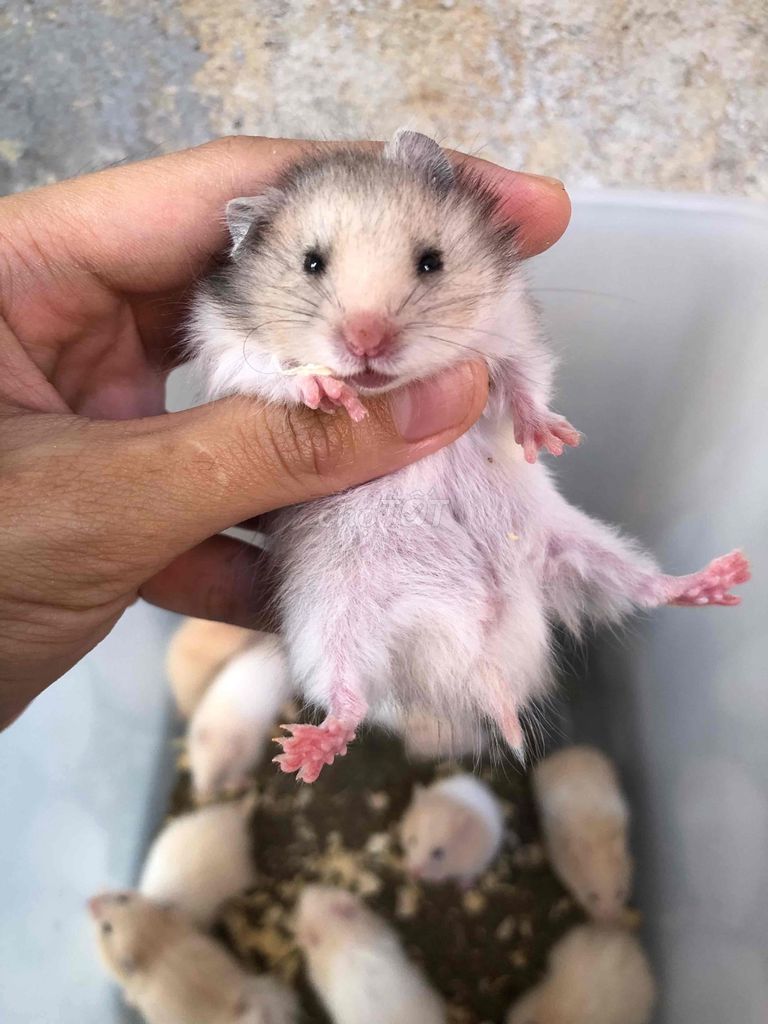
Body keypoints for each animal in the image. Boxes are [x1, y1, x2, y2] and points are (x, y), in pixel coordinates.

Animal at [87, 890, 297, 1024]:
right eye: (122, 897)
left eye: (106, 929)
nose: (88, 903)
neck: (155, 940)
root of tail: (232, 1014)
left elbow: (130, 996)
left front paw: (125, 999)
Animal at [191, 129, 749, 782]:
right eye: (311, 263)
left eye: (431, 260)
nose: (366, 342)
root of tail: (476, 651)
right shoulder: (226, 352)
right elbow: (273, 374)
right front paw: (327, 393)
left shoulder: (511, 330)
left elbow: (523, 382)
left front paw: (548, 439)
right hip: (330, 620)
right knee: (346, 696)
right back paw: (305, 753)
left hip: (576, 550)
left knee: (647, 588)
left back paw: (723, 578)